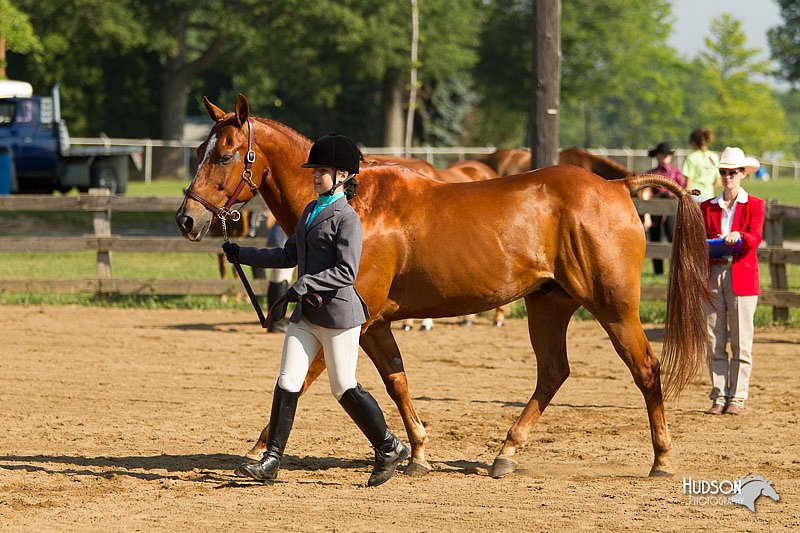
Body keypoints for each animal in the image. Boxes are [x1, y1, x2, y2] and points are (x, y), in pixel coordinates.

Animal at [175, 94, 708, 478]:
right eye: (199, 151)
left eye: (224, 155)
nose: (187, 219)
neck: (349, 201)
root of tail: (617, 187)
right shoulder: (374, 325)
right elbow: (396, 382)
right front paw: (415, 453)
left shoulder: (348, 321)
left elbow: (303, 381)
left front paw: (259, 451)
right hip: (548, 305)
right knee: (553, 372)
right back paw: (506, 453)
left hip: (614, 308)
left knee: (645, 369)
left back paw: (661, 460)